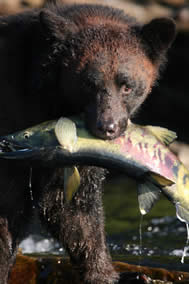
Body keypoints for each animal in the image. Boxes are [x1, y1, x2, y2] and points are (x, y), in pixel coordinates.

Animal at [0, 2, 175, 284]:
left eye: (126, 85)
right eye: (89, 83)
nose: (107, 127)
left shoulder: (72, 152)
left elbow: (75, 211)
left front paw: (107, 274)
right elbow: (8, 210)